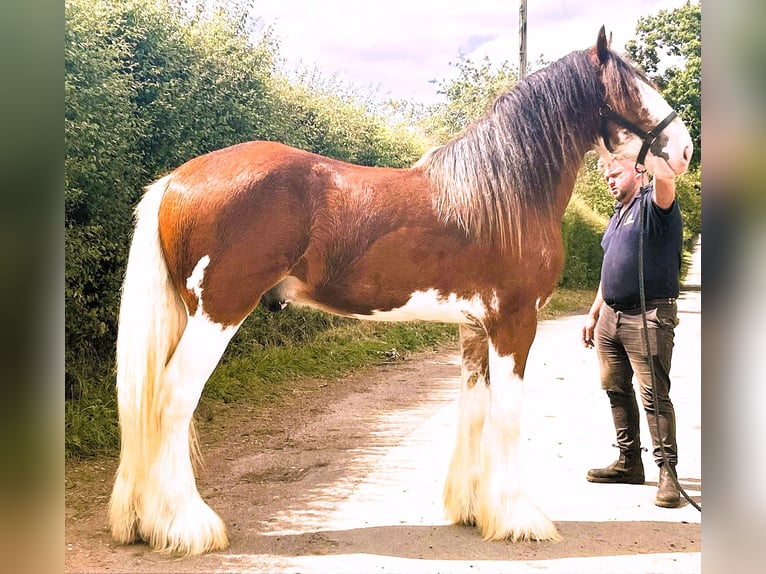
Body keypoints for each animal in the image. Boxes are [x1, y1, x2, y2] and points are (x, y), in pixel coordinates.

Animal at [109, 28, 696, 560]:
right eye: (632, 88)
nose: (685, 149)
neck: (504, 194)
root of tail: (176, 180)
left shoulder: (475, 326)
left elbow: (475, 407)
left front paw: (472, 509)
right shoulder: (513, 323)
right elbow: (507, 415)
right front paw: (518, 518)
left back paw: (143, 521)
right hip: (219, 312)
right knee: (173, 400)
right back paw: (187, 526)